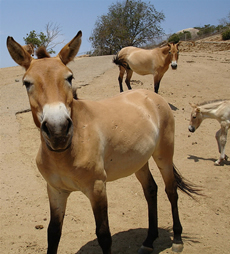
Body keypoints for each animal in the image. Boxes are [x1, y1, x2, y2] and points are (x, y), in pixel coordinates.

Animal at [7, 32, 198, 254]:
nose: (58, 130)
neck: (70, 149)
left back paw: (177, 238)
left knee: (171, 191)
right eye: (27, 83)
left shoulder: (97, 189)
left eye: (69, 77)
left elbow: (104, 235)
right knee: (151, 190)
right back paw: (149, 241)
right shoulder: (55, 191)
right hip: (139, 162)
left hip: (164, 156)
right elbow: (53, 233)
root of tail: (152, 95)